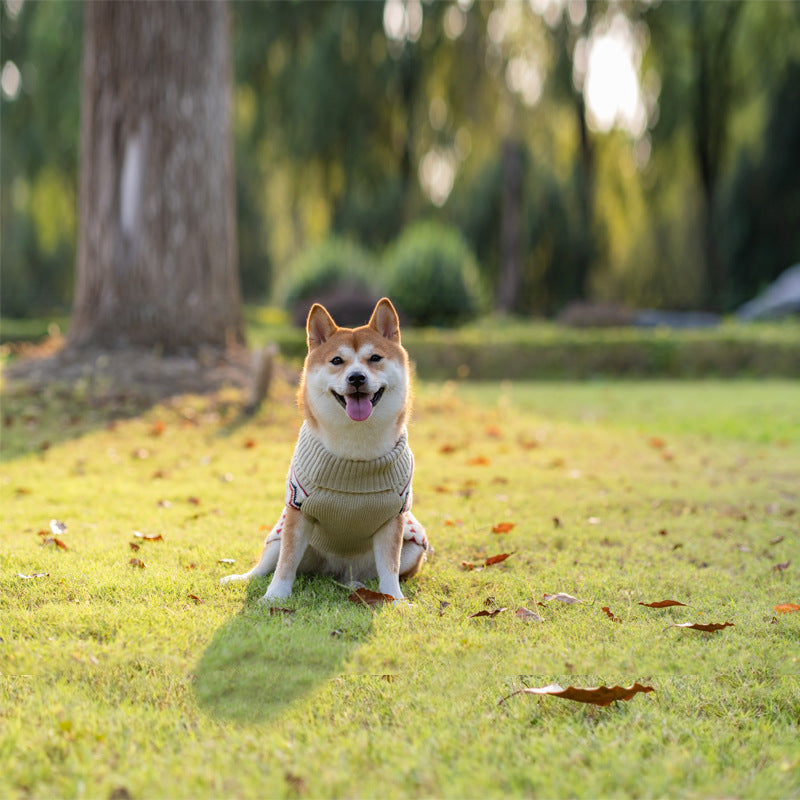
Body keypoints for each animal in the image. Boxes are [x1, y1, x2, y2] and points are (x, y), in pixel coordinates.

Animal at [222, 298, 428, 600]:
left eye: (375, 358)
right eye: (337, 361)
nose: (356, 378)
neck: (355, 451)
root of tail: (336, 571)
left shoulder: (394, 517)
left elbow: (390, 566)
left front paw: (395, 601)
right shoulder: (298, 510)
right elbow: (285, 563)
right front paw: (274, 597)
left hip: (414, 545)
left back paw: (361, 587)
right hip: (279, 535)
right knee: (264, 566)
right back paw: (240, 578)